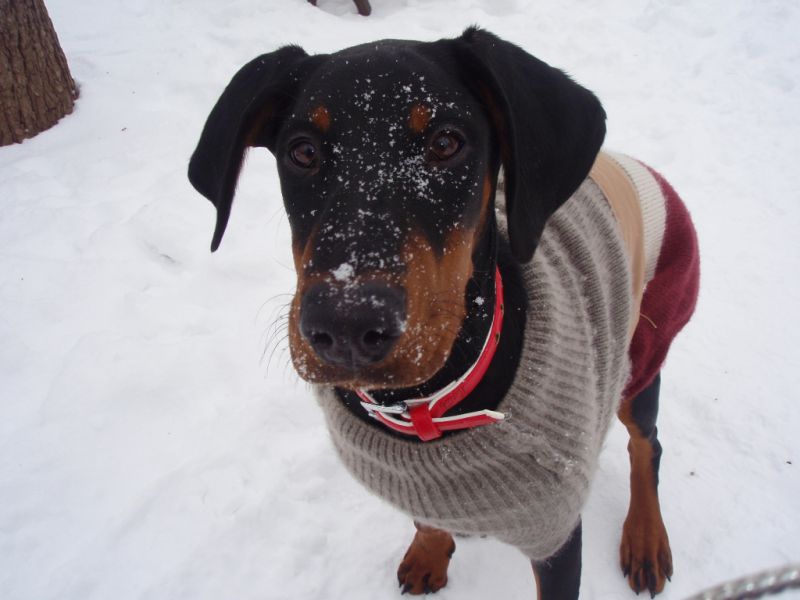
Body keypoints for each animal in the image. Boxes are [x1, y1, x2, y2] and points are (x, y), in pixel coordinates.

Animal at [188, 28, 699, 599]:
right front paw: (430, 551)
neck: (426, 408)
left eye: (446, 143)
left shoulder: (556, 535)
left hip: (645, 349)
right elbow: (425, 519)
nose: (345, 326)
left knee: (646, 444)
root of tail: (637, 168)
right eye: (302, 151)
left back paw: (646, 538)